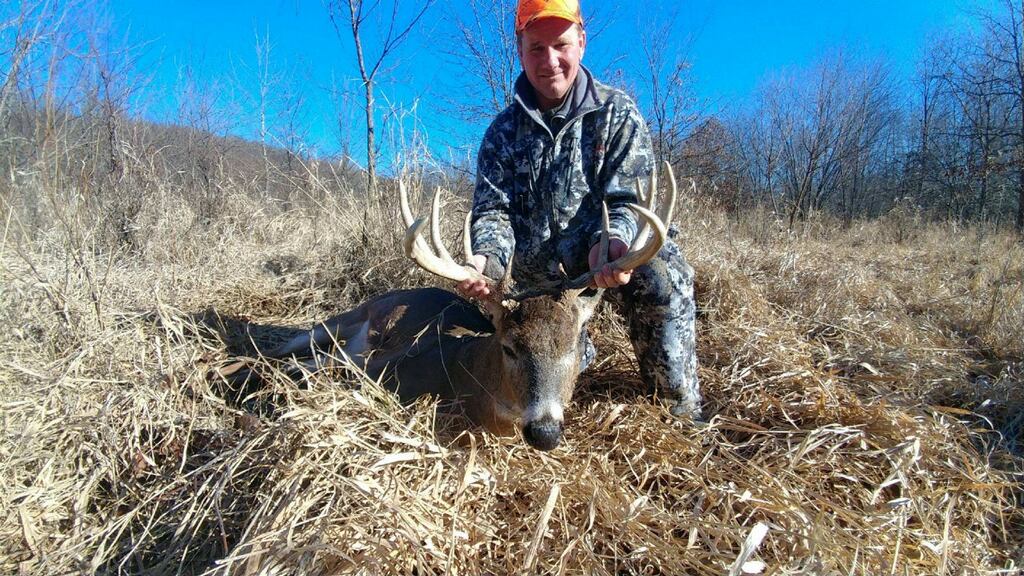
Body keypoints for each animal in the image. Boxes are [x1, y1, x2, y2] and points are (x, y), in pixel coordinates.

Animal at [257, 166, 677, 451]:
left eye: (574, 348)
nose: (544, 432)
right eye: (509, 346)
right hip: (347, 319)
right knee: (293, 347)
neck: (467, 376)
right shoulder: (383, 364)